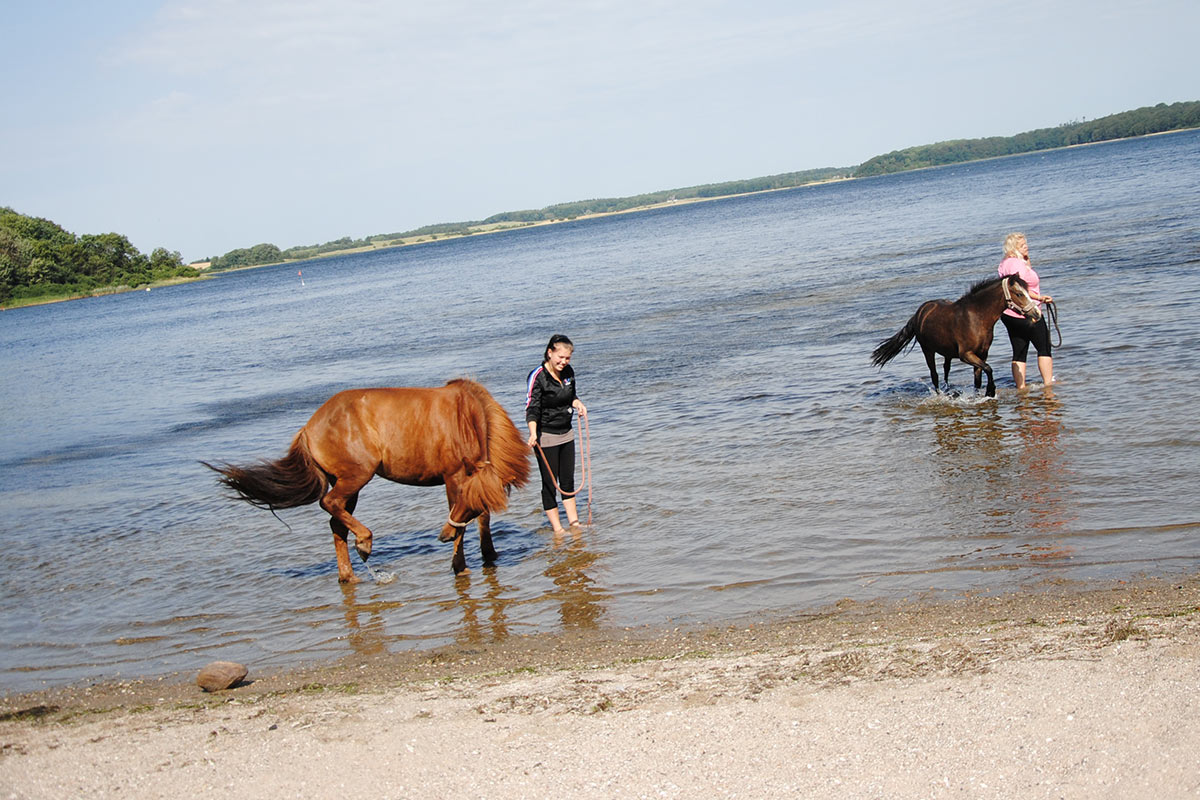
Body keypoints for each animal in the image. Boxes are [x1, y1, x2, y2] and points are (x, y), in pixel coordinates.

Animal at [205, 379, 530, 585]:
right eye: (461, 496)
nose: (442, 536)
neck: (466, 417)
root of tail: (309, 428)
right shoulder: (454, 477)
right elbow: (465, 521)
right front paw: (459, 566)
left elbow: (483, 517)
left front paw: (489, 555)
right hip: (356, 476)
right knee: (330, 504)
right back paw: (364, 543)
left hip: (347, 483)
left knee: (336, 521)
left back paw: (348, 575)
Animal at [873, 277, 1041, 398]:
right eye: (1019, 294)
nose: (1037, 314)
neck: (976, 317)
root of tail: (919, 313)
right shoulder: (966, 355)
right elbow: (988, 368)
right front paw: (990, 391)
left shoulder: (982, 354)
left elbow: (978, 378)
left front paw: (980, 395)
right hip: (928, 350)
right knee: (934, 375)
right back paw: (941, 395)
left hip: (947, 353)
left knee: (946, 370)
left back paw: (949, 391)